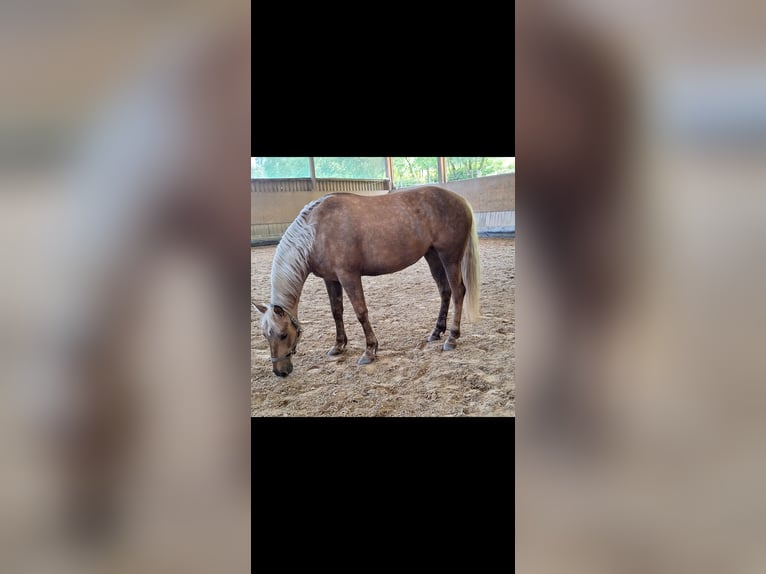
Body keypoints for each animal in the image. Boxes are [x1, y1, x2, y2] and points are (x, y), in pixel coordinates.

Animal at [253, 185, 481, 377]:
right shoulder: (331, 279)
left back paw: (452, 338)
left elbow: (361, 312)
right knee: (445, 291)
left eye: (283, 334)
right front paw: (338, 346)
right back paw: (436, 332)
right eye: (265, 335)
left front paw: (370, 351)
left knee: (458, 291)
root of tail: (460, 199)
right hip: (432, 256)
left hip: (449, 257)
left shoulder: (349, 276)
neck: (316, 231)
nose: (280, 371)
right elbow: (336, 312)